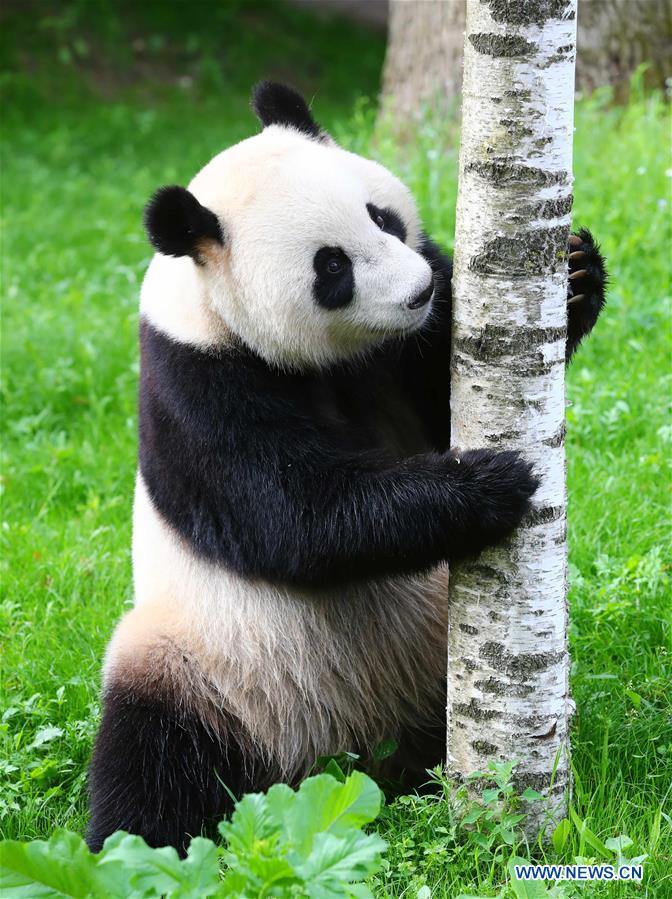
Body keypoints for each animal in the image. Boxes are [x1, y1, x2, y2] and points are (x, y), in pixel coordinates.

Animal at [87, 81, 606, 853]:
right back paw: (133, 847)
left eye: (381, 216)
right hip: (199, 663)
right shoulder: (195, 385)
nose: (419, 291)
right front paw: (487, 484)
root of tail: (340, 755)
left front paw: (574, 275)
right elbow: (294, 515)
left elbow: (442, 394)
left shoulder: (404, 350)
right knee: (151, 759)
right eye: (330, 266)